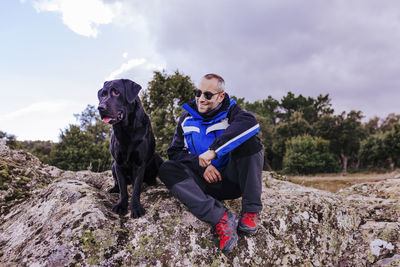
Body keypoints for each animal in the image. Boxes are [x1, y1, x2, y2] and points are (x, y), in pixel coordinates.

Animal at [97, 78, 162, 219]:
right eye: (103, 94)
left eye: (116, 92)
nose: (100, 107)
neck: (126, 129)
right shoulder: (118, 163)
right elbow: (123, 189)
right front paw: (121, 206)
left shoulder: (139, 164)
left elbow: (136, 189)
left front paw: (136, 208)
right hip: (113, 166)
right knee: (117, 183)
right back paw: (113, 189)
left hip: (158, 158)